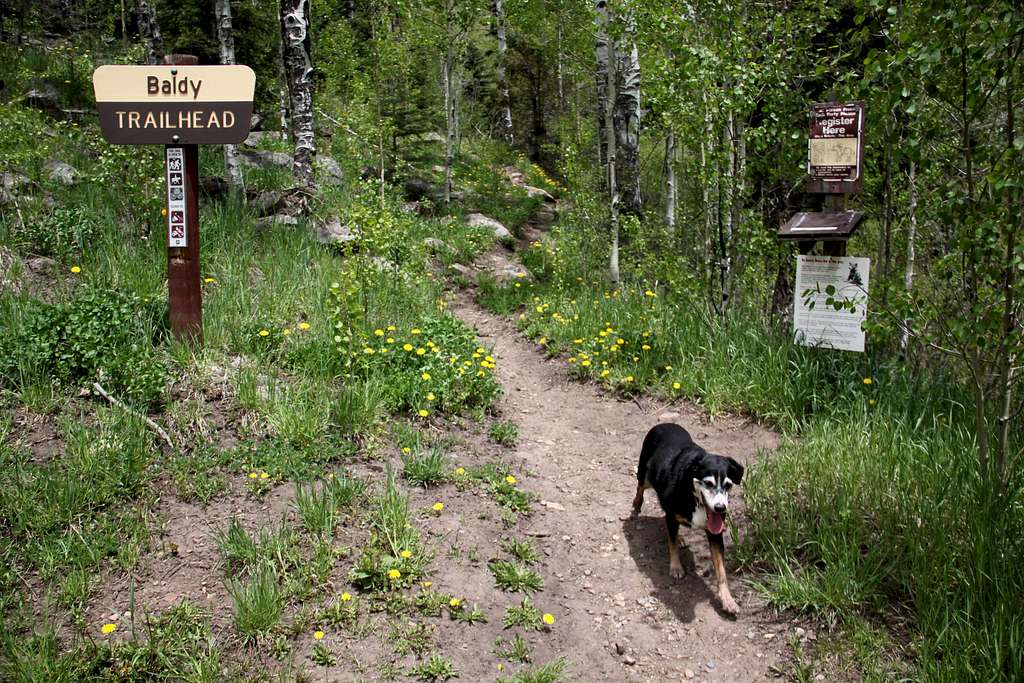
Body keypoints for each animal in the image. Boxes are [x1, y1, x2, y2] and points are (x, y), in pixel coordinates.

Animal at [630, 421, 745, 614]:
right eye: (708, 483)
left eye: (728, 485)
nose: (720, 508)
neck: (695, 497)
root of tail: (664, 423)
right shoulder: (671, 515)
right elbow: (672, 544)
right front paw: (676, 567)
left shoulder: (715, 532)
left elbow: (721, 570)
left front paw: (727, 599)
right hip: (645, 473)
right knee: (640, 488)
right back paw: (636, 507)